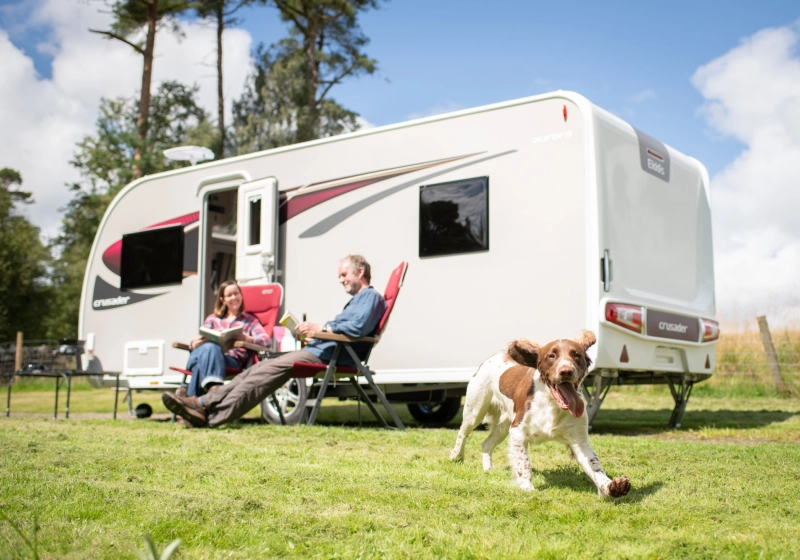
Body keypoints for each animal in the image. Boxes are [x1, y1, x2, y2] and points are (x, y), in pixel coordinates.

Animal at [450, 331, 630, 497]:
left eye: (576, 355)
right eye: (551, 355)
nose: (566, 371)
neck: (552, 404)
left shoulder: (579, 441)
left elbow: (595, 465)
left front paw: (611, 486)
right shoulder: (517, 432)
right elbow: (523, 463)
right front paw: (526, 487)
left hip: (504, 424)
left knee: (486, 444)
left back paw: (488, 470)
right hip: (475, 410)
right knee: (463, 433)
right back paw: (455, 456)